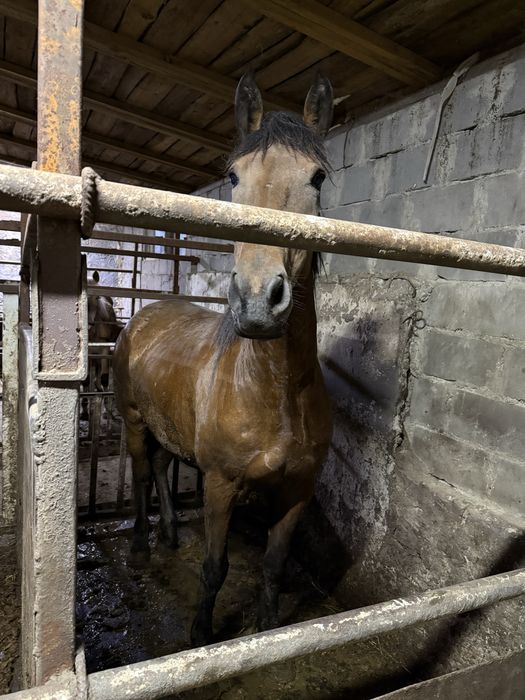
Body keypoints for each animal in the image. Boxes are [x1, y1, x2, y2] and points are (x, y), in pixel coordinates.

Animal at [113, 72, 334, 647]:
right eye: (233, 177)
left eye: (318, 177)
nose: (258, 300)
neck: (274, 388)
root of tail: (146, 314)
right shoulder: (219, 484)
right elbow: (215, 568)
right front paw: (201, 633)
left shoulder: (297, 492)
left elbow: (275, 565)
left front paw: (268, 627)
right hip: (134, 421)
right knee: (142, 474)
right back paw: (141, 546)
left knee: (162, 466)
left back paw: (170, 534)